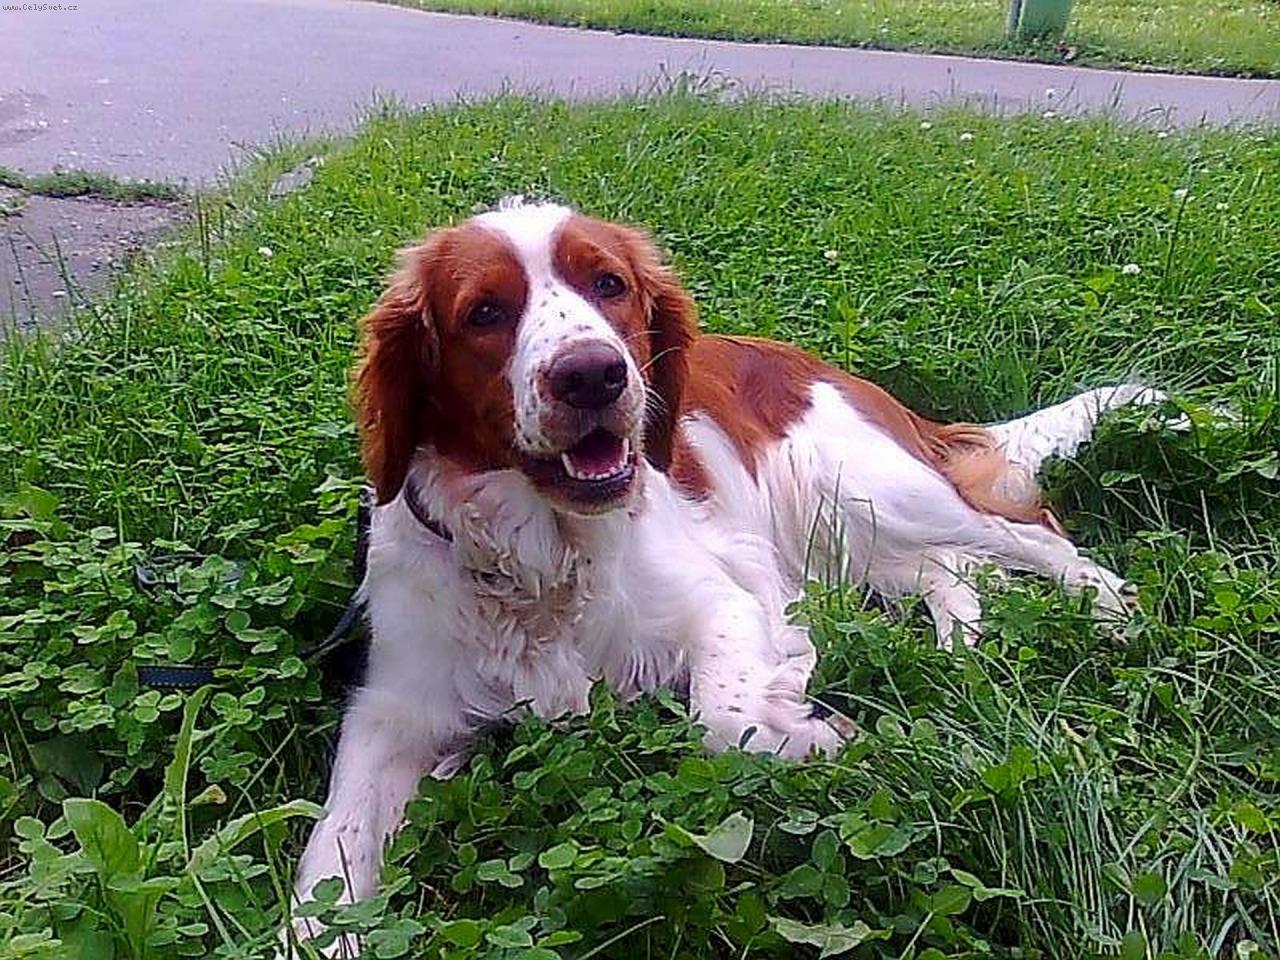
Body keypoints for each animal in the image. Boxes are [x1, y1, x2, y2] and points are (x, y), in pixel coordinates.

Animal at [286, 198, 1159, 953]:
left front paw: (806, 728)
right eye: (484, 313)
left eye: (609, 284)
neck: (544, 562)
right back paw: (958, 648)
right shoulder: (392, 710)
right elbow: (331, 852)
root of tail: (827, 366)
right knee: (955, 572)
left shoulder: (723, 601)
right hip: (860, 537)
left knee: (1031, 534)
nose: (592, 375)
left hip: (867, 486)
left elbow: (723, 716)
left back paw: (1110, 609)